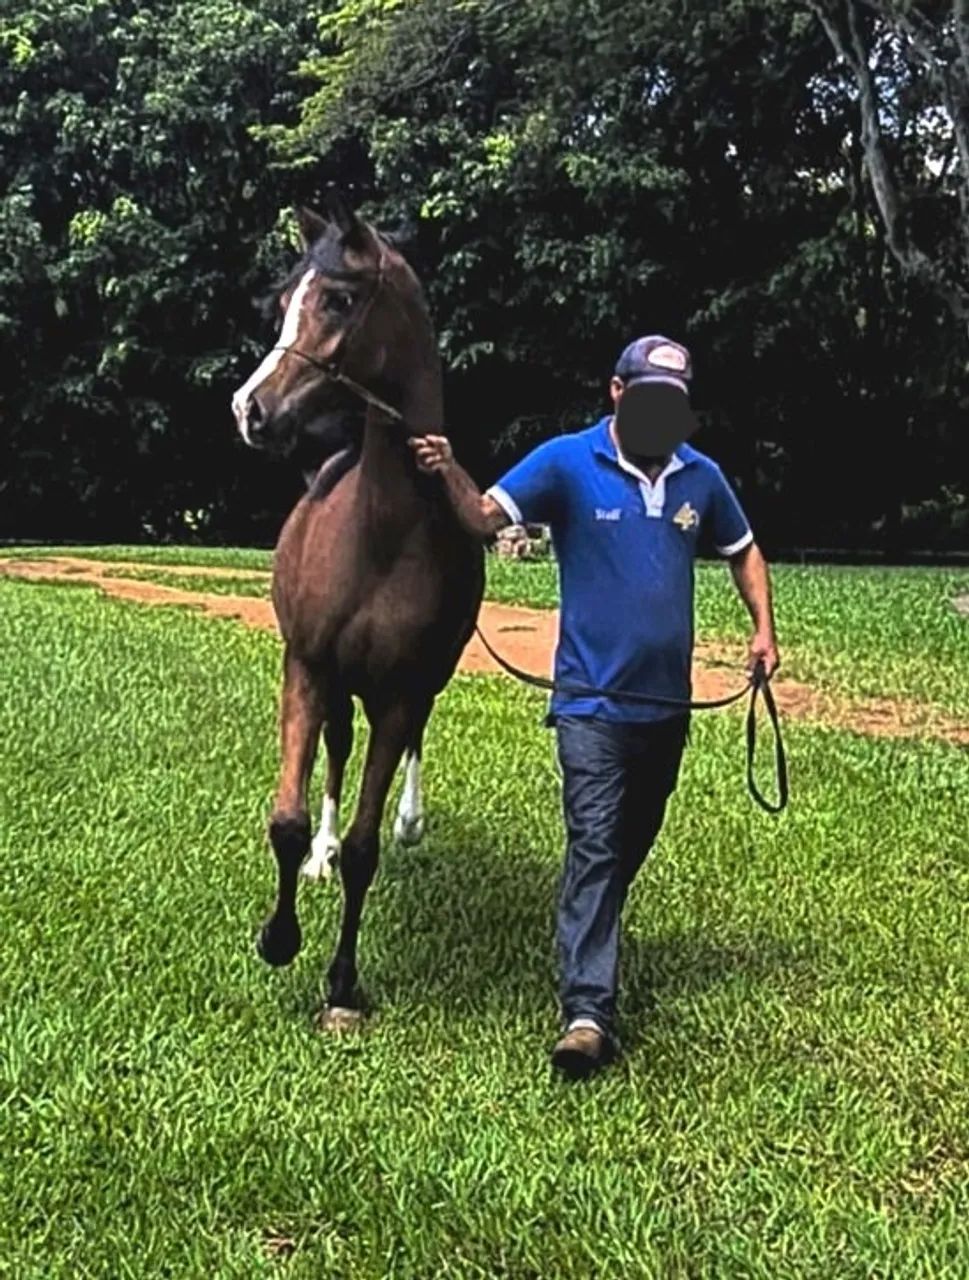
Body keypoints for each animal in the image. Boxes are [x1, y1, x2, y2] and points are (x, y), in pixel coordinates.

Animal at [231, 188, 485, 1029]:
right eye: (283, 302)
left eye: (338, 299)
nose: (250, 410)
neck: (380, 531)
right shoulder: (306, 668)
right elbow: (286, 817)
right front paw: (280, 935)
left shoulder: (403, 691)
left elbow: (370, 851)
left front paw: (341, 982)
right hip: (338, 685)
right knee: (337, 752)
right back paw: (321, 852)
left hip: (413, 688)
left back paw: (406, 822)